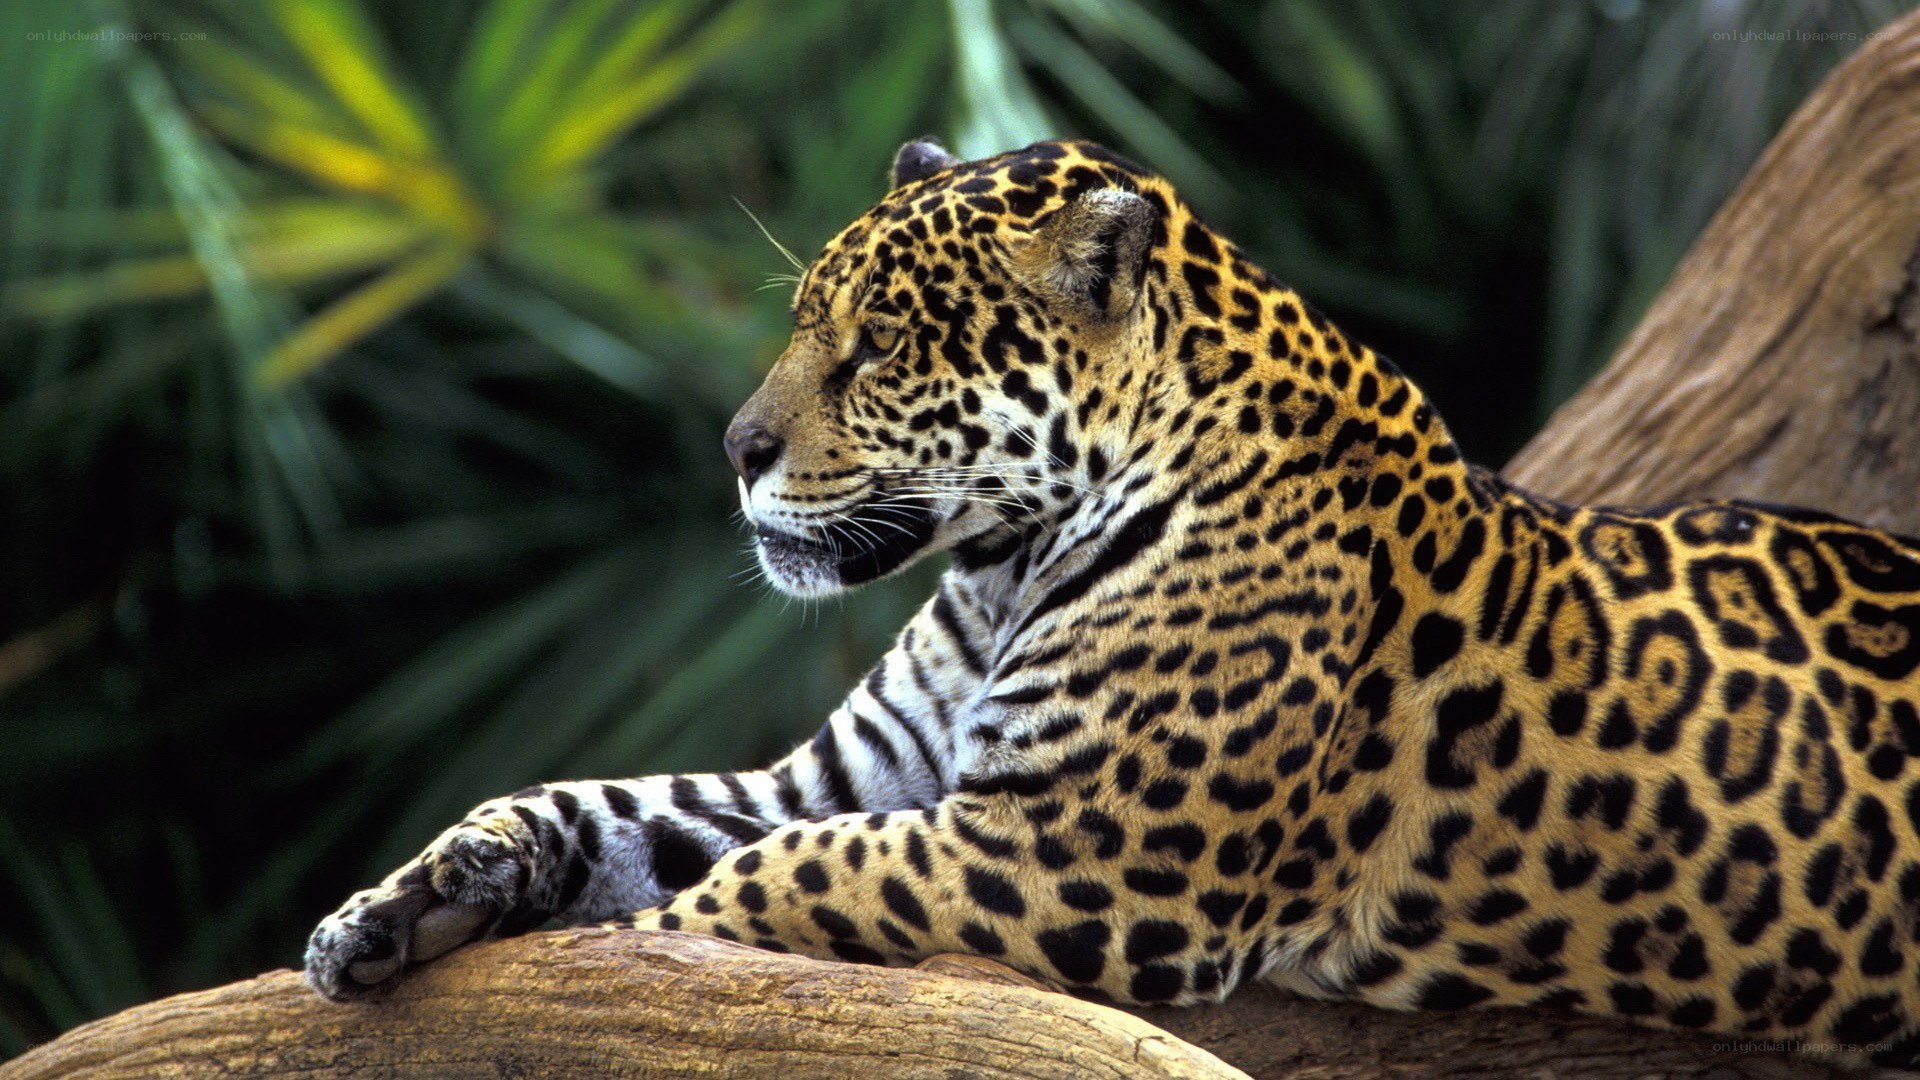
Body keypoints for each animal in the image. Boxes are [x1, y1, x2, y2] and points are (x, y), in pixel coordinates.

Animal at [306, 137, 1920, 1069]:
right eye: (803, 323)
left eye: (877, 346)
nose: (735, 448)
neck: (1001, 561)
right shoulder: (846, 777)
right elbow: (599, 808)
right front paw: (396, 909)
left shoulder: (1085, 858)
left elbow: (783, 880)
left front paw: (661, 950)